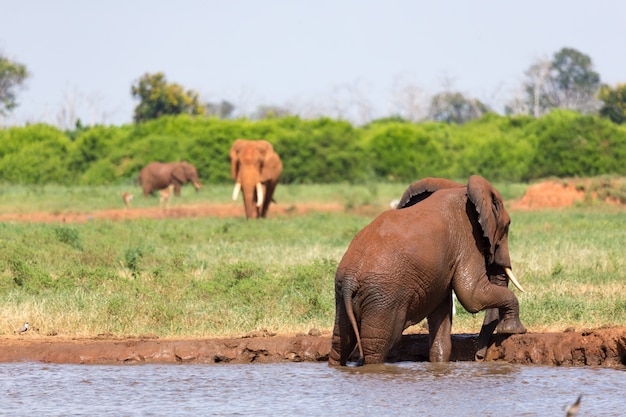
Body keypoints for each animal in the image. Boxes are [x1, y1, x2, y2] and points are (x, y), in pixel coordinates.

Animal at [330, 175, 524, 364]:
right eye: (508, 225)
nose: (478, 357)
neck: (462, 190)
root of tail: (350, 279)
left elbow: (442, 312)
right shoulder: (467, 240)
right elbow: (472, 296)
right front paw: (514, 330)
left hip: (345, 294)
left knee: (341, 342)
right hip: (384, 298)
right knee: (377, 346)